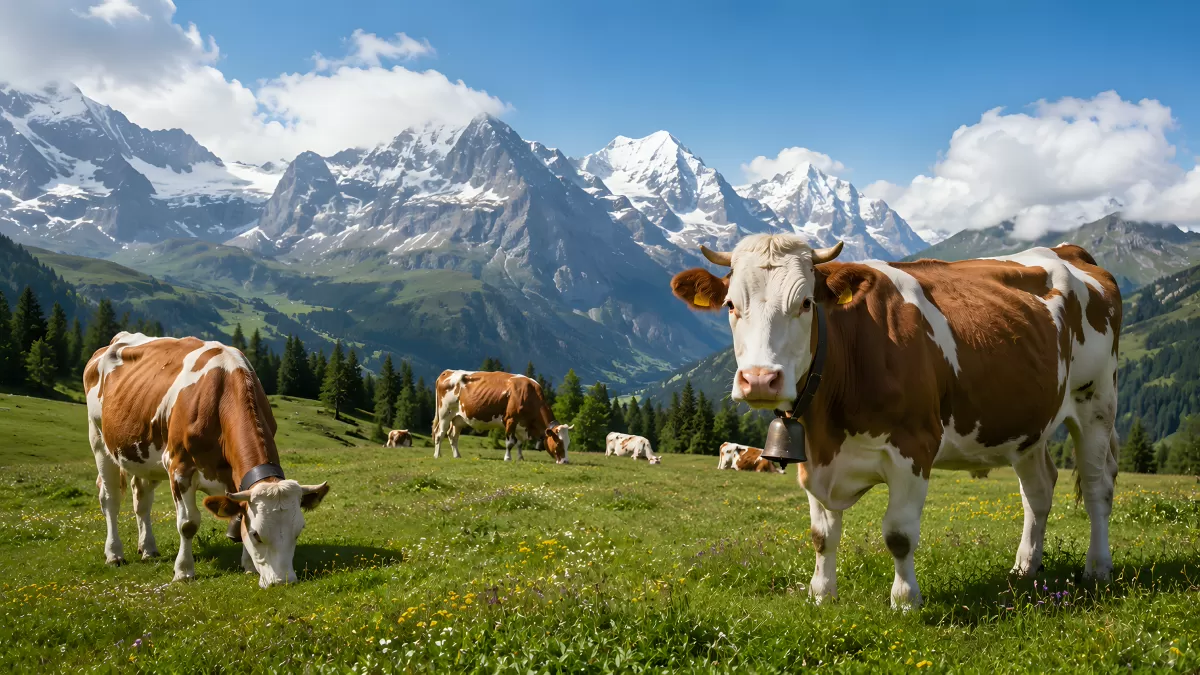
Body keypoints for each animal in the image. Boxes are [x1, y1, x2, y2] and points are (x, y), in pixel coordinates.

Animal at [84, 332, 330, 588]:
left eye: (298, 531)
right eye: (256, 534)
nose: (283, 582)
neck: (223, 394)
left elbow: (239, 513)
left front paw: (249, 566)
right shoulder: (179, 467)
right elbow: (188, 523)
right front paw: (184, 571)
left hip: (144, 455)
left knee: (141, 499)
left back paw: (148, 548)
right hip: (99, 440)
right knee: (110, 499)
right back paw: (114, 554)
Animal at [433, 370, 572, 463]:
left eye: (568, 443)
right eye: (558, 442)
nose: (565, 461)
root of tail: (447, 372)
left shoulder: (522, 425)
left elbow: (520, 443)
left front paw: (520, 458)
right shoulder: (510, 419)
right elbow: (510, 442)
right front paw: (507, 458)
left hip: (458, 418)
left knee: (453, 436)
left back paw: (457, 455)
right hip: (445, 412)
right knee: (440, 434)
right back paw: (437, 455)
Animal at [671, 234, 1121, 609]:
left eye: (805, 303)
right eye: (731, 305)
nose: (761, 379)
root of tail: (1067, 250)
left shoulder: (915, 447)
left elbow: (899, 535)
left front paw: (905, 601)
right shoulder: (813, 458)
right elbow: (822, 536)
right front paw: (822, 595)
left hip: (1097, 402)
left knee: (1097, 488)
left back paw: (1097, 567)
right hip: (1029, 424)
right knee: (1038, 491)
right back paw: (1025, 568)